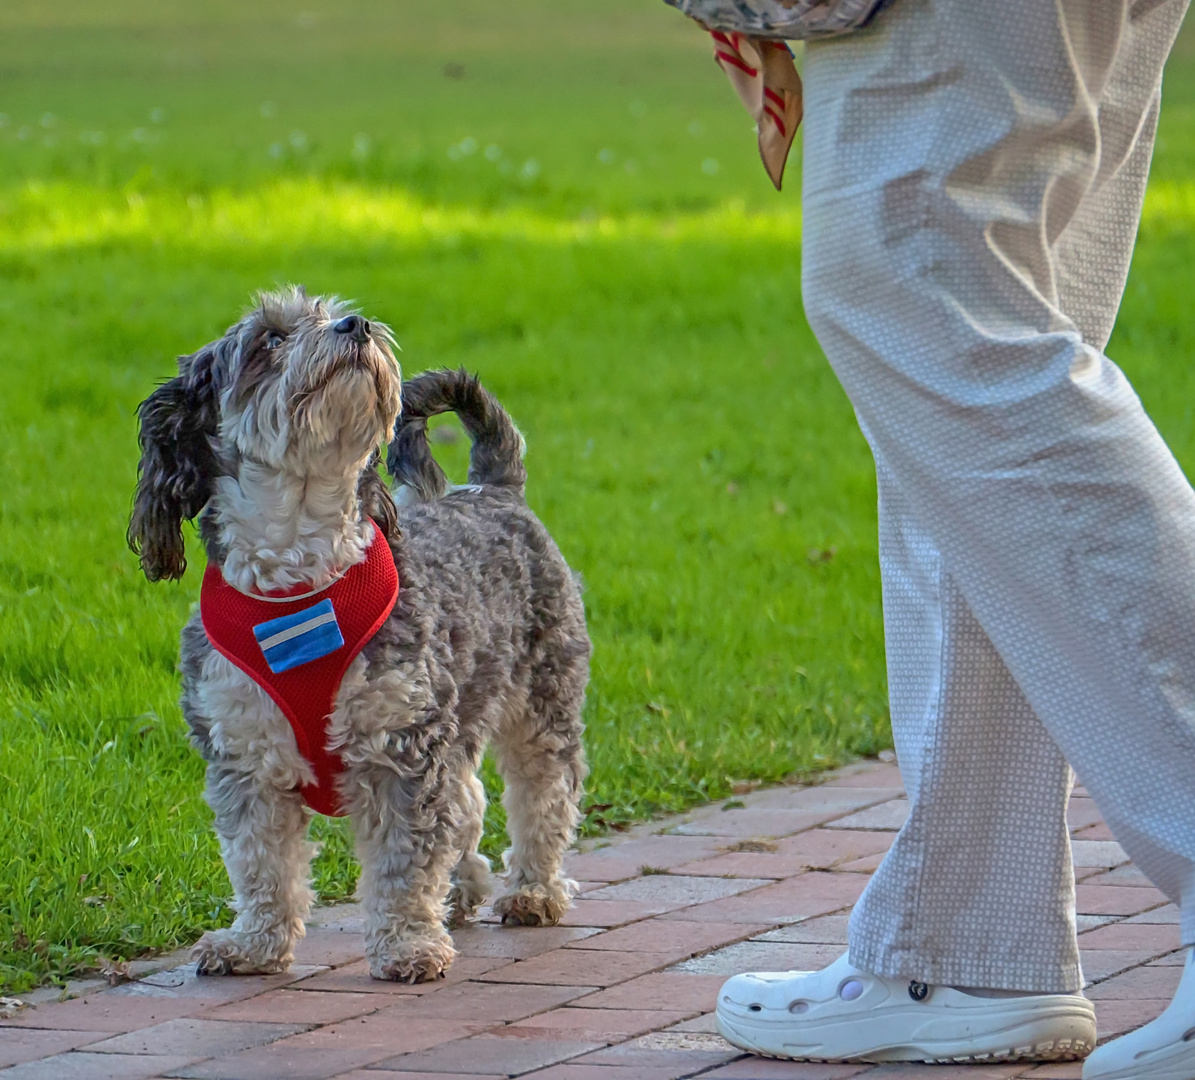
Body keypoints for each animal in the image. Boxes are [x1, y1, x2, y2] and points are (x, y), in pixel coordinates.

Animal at [128, 289, 590, 989]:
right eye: (268, 340)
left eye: (330, 311)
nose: (357, 325)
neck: (300, 586)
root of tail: (492, 487)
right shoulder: (243, 756)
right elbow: (262, 864)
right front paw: (256, 943)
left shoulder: (403, 745)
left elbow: (404, 862)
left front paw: (407, 942)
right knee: (469, 799)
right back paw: (464, 888)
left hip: (542, 697)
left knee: (543, 794)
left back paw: (533, 890)